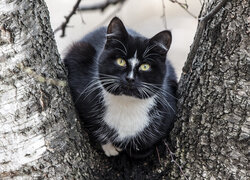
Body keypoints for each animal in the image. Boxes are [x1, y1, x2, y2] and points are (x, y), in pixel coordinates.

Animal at [64, 16, 178, 158]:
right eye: (121, 61)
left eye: (145, 66)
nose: (130, 78)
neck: (126, 103)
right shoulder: (79, 67)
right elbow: (90, 122)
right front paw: (109, 147)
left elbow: (143, 146)